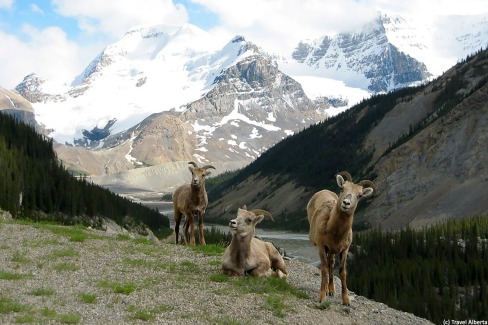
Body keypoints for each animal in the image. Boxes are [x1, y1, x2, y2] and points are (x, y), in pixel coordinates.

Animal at [306, 171, 376, 306]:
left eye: (359, 195)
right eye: (342, 188)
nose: (346, 203)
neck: (335, 233)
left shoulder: (344, 250)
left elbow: (342, 272)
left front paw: (346, 300)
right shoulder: (322, 247)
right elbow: (324, 270)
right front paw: (322, 297)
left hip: (333, 252)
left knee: (331, 263)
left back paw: (331, 290)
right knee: (328, 265)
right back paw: (327, 290)